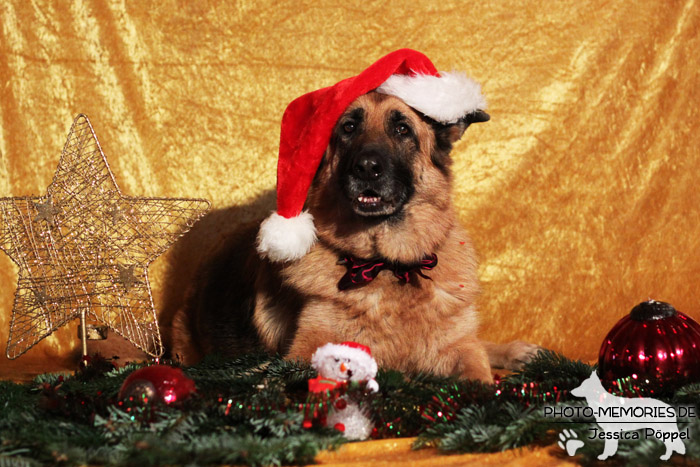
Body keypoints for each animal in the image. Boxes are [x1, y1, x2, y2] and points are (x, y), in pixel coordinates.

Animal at [174, 92, 536, 384]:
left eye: (402, 129)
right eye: (348, 128)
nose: (366, 168)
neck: (388, 266)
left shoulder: (460, 348)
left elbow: (480, 375)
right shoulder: (304, 353)